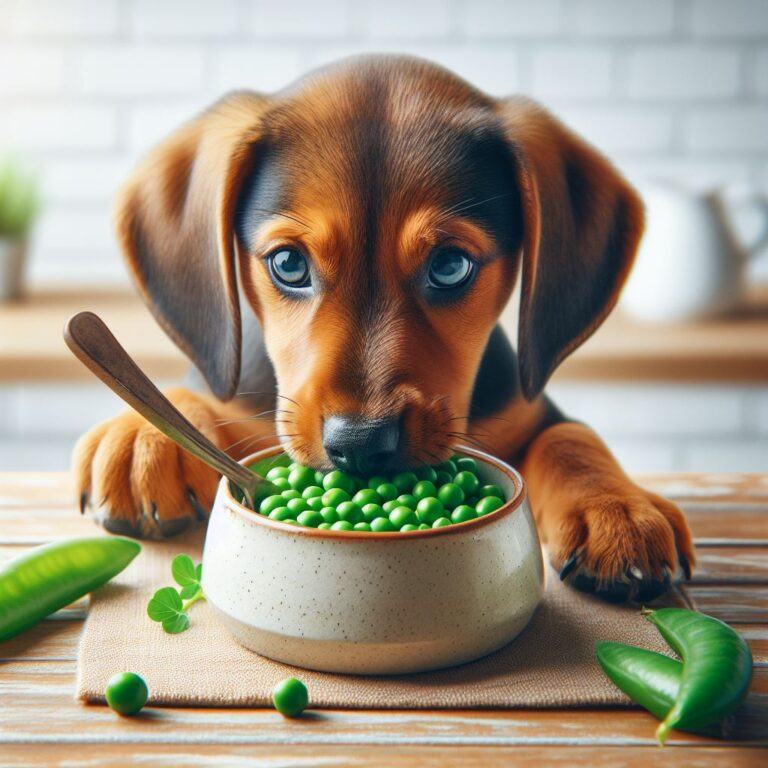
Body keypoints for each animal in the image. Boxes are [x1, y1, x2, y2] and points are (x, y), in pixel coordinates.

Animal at [73, 57, 696, 604]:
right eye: (288, 264)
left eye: (450, 265)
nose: (359, 445)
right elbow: (187, 401)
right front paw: (141, 440)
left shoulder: (528, 407)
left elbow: (569, 439)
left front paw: (617, 509)